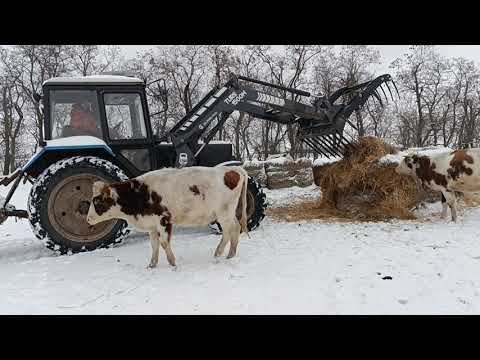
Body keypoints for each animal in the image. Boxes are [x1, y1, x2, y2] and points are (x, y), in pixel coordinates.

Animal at [86, 166, 249, 268]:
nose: (87, 219)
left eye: (97, 201)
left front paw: (172, 262)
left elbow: (164, 243)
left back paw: (220, 253)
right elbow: (154, 245)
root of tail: (232, 169)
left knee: (228, 231)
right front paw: (152, 265)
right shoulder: (151, 225)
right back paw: (231, 254)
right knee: (236, 228)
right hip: (228, 214)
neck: (140, 193)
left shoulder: (164, 220)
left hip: (224, 213)